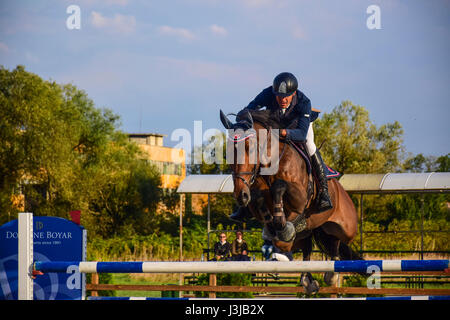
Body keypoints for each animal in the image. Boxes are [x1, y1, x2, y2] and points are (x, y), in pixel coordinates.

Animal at [219, 109, 362, 292]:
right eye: (228, 153)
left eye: (249, 149)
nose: (240, 195)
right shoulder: (254, 198)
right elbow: (259, 200)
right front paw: (272, 224)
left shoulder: (300, 198)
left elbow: (279, 186)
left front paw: (281, 223)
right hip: (308, 232)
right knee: (307, 249)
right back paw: (308, 280)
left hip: (345, 227)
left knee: (337, 244)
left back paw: (330, 274)